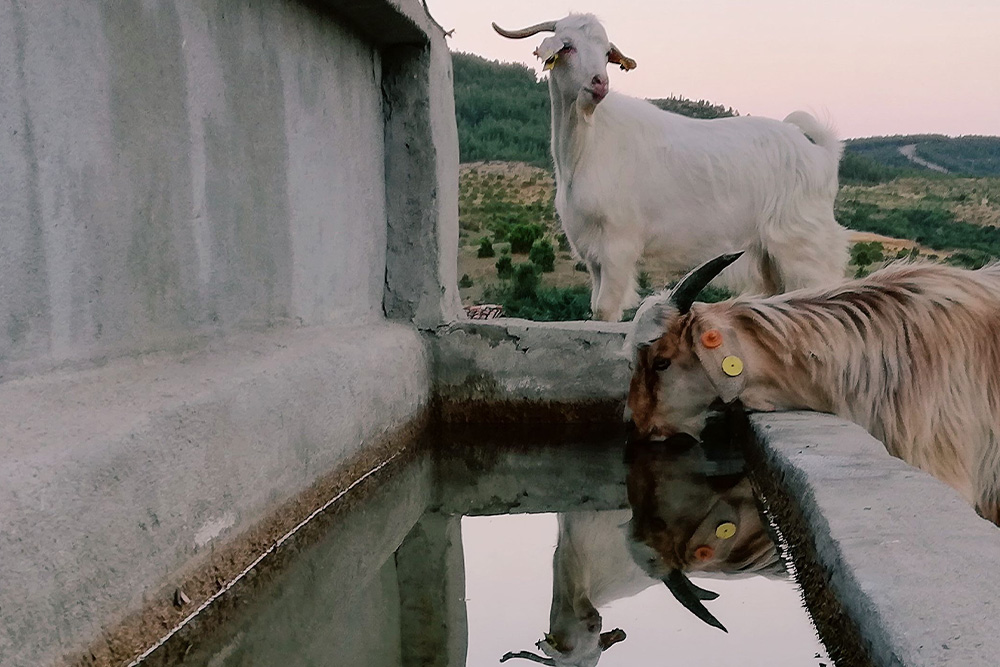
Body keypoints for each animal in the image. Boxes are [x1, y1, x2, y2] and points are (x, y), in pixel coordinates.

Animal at [493, 14, 848, 322]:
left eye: (607, 53)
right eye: (567, 46)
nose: (600, 83)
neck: (588, 145)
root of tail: (821, 155)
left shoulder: (618, 245)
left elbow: (605, 309)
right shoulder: (592, 251)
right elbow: (596, 305)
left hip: (804, 243)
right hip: (768, 255)